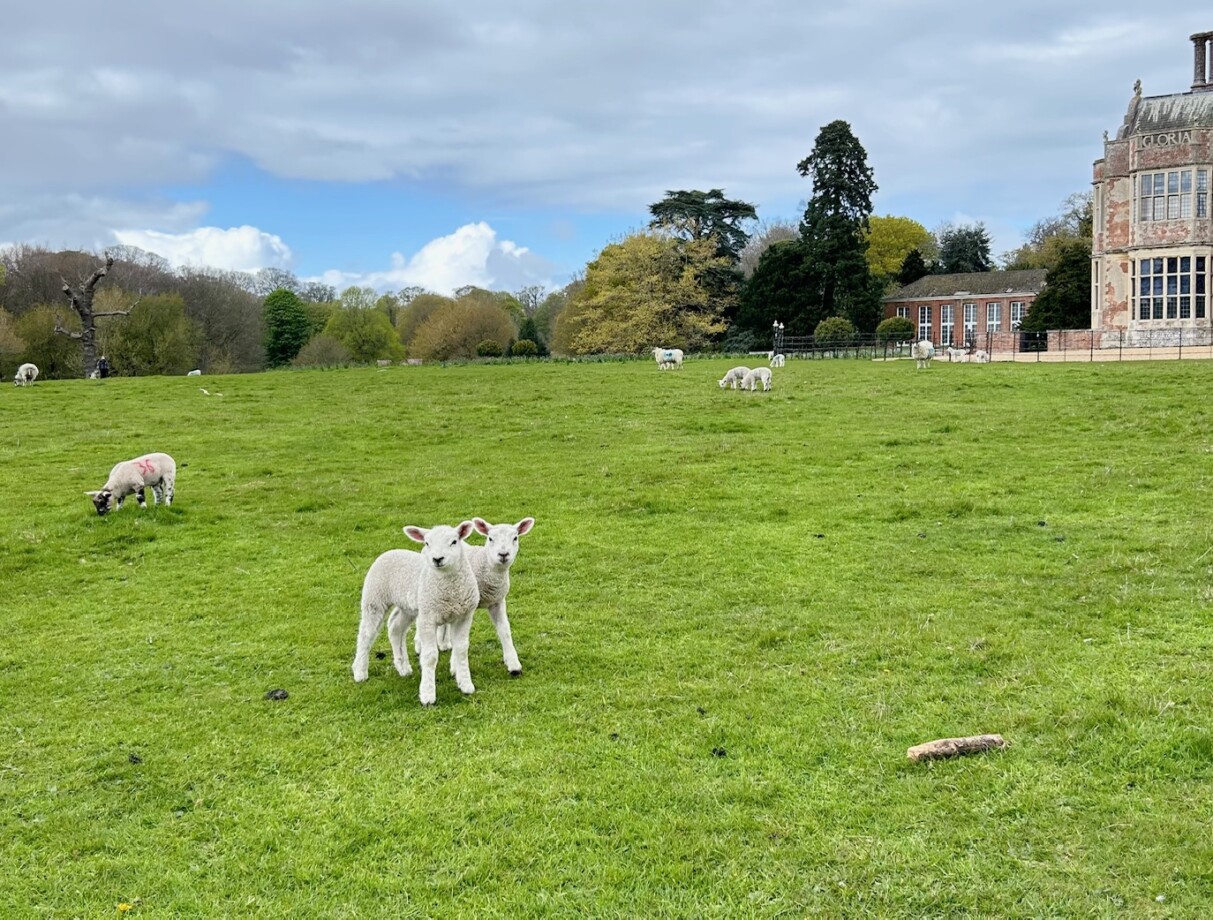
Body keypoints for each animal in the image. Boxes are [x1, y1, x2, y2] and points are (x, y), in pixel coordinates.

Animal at [352, 521, 480, 706]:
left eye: (454, 542)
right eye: (427, 543)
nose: (437, 559)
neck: (449, 589)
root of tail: (392, 550)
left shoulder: (464, 616)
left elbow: (461, 650)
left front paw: (466, 685)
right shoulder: (427, 618)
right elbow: (430, 656)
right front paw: (427, 694)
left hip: (408, 606)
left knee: (395, 628)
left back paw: (403, 667)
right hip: (374, 598)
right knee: (366, 634)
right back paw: (360, 672)